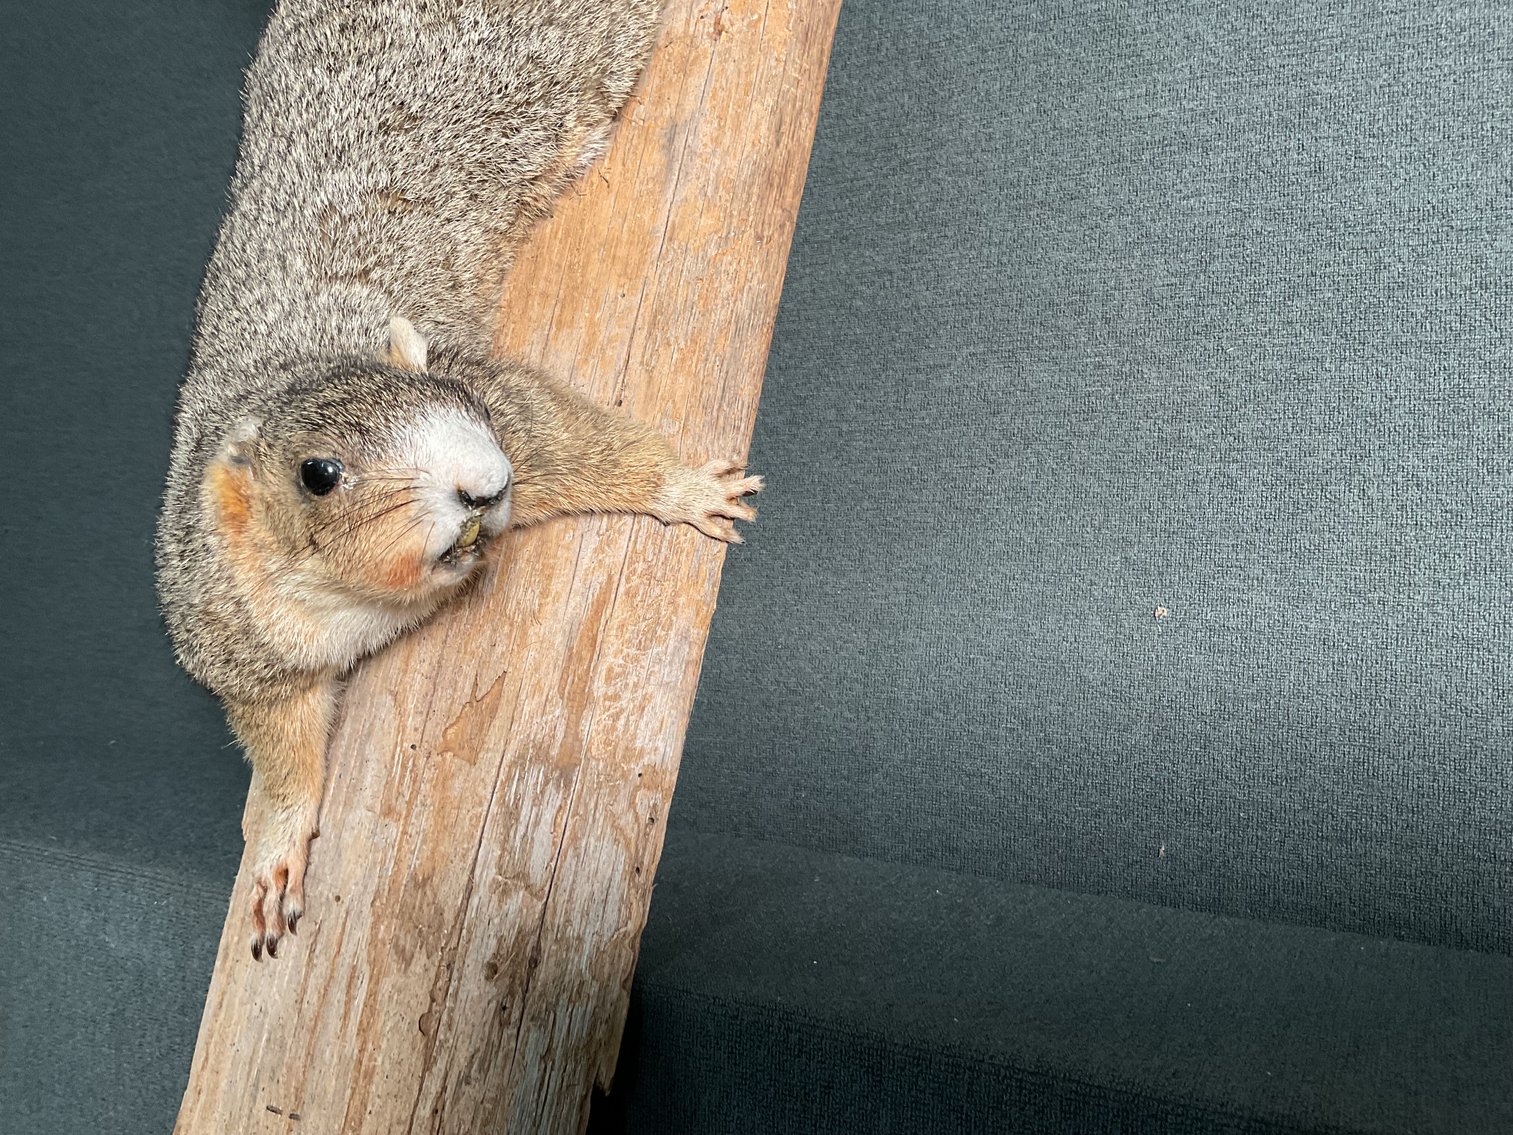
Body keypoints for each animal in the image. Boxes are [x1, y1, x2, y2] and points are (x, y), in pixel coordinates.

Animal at [155, 0, 760, 962]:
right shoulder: (233, 632)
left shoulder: (495, 405)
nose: (483, 482)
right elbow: (279, 742)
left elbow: (562, 435)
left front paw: (677, 487)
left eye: (435, 388)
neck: (364, 601)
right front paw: (279, 847)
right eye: (318, 474)